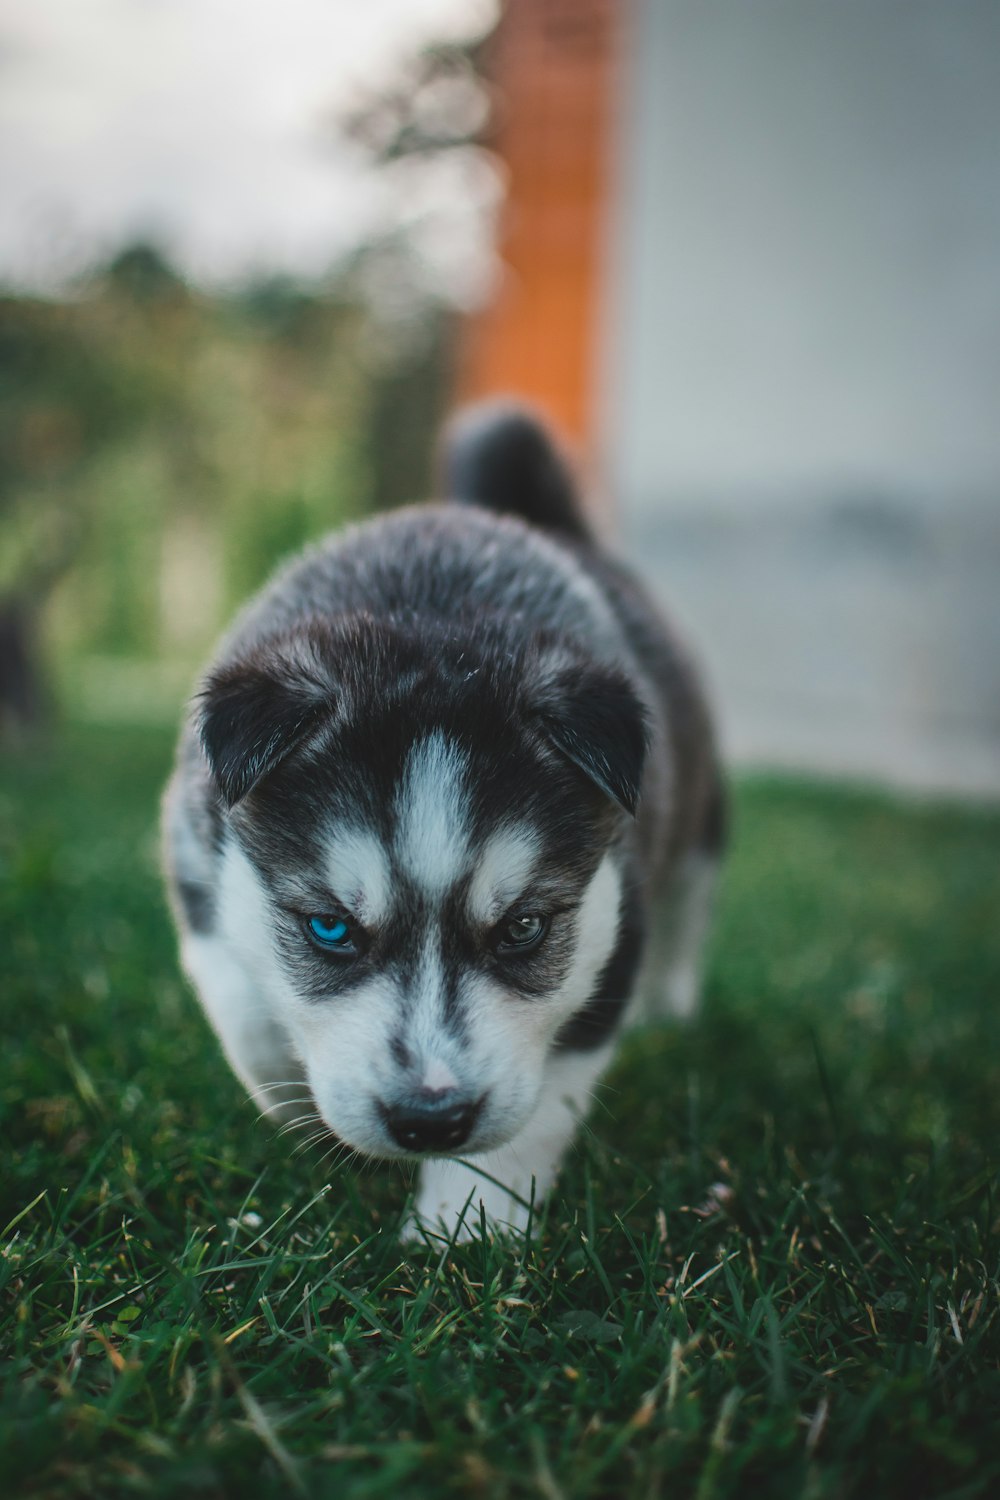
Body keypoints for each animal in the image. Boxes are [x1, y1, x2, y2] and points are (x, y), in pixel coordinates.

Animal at [164, 405, 728, 1236]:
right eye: (330, 928)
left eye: (523, 929)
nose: (430, 1121)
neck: (433, 608)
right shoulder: (196, 860)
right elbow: (244, 1004)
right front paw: (292, 1100)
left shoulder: (613, 930)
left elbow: (534, 1112)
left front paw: (467, 1226)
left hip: (701, 818)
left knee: (691, 904)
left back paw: (669, 1010)